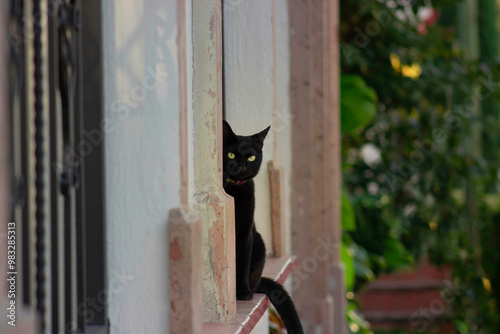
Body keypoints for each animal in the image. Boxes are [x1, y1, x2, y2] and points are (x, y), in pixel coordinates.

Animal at [224, 120, 304, 334]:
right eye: (231, 155)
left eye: (251, 157)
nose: (241, 167)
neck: (235, 188)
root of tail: (260, 281)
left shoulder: (246, 233)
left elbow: (242, 263)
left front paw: (243, 292)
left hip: (259, 242)